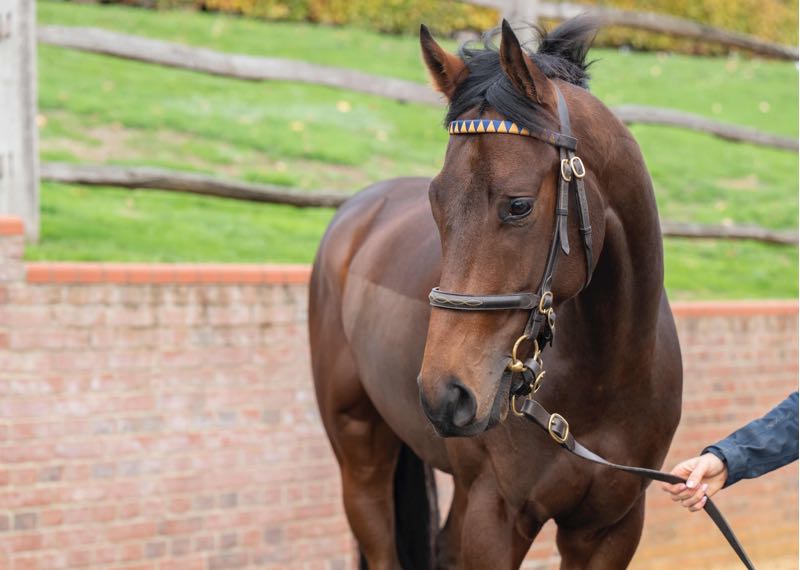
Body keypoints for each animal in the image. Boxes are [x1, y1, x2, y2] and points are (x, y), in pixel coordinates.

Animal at [309, 16, 682, 569]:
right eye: (435, 200)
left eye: (519, 205)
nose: (445, 393)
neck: (607, 376)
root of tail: (358, 212)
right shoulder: (496, 516)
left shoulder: (611, 529)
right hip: (361, 456)